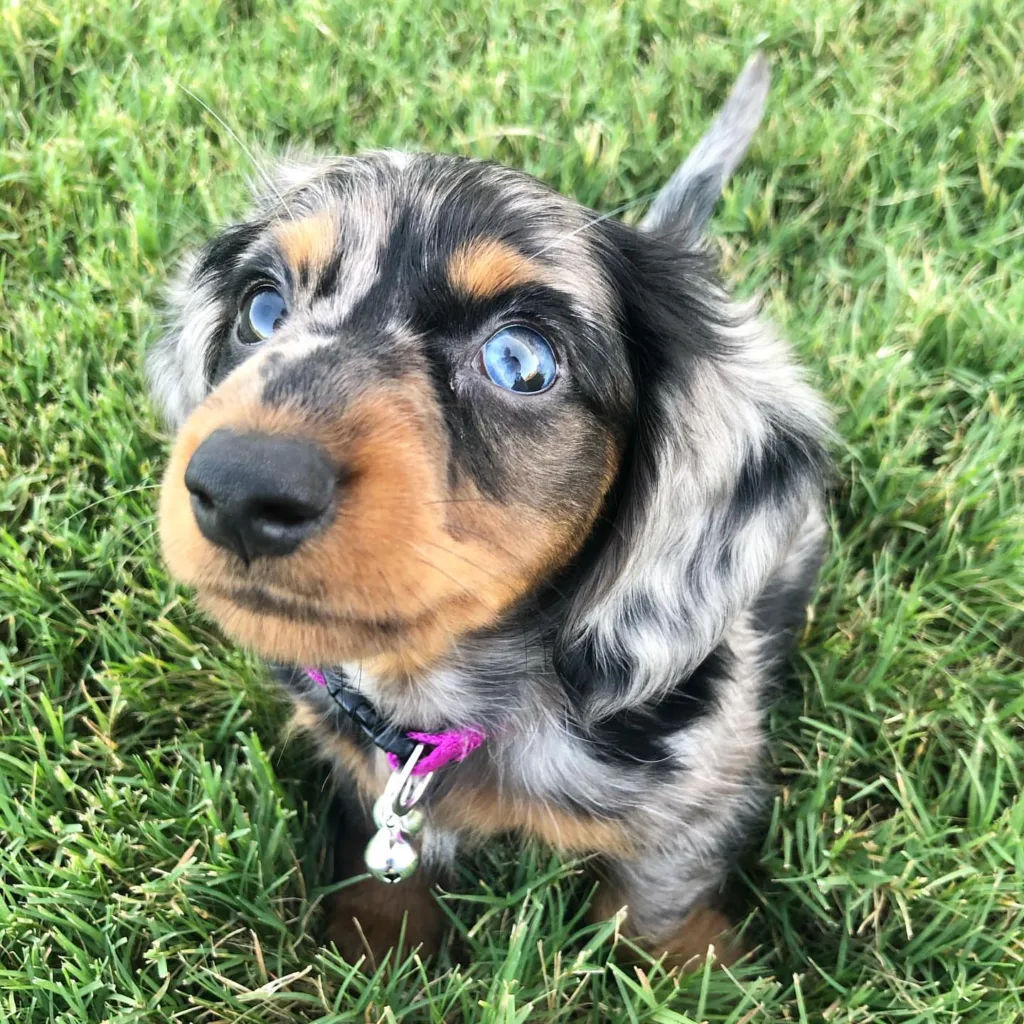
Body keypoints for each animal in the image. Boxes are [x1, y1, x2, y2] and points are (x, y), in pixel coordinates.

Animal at [146, 54, 831, 966]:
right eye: (261, 309)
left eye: (520, 361)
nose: (236, 485)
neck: (448, 703)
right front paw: (378, 941)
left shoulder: (700, 784)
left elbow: (657, 895)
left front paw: (683, 968)